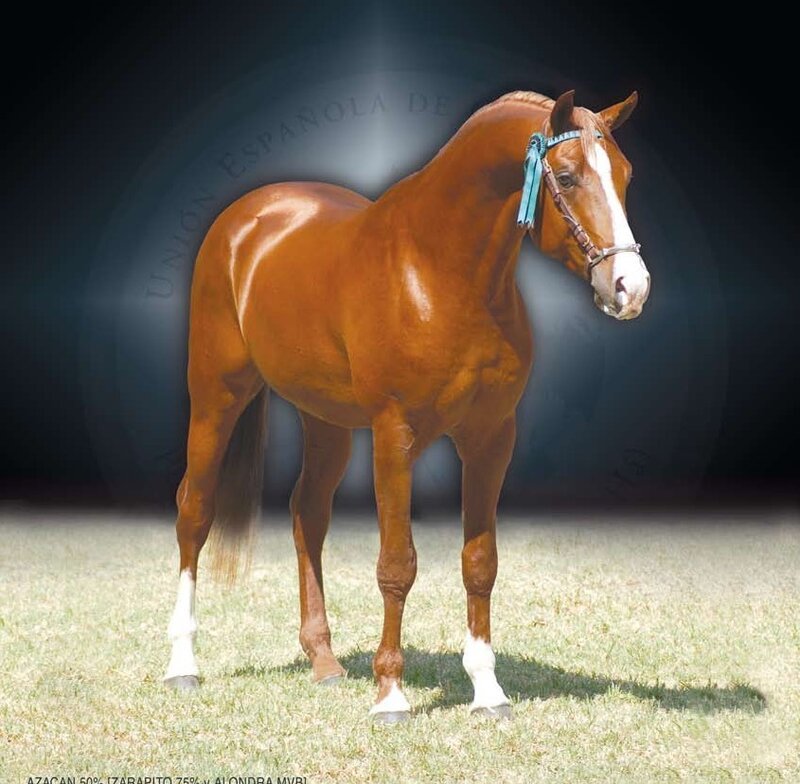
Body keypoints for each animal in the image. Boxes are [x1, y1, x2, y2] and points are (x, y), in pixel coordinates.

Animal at [163, 88, 651, 722]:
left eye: (625, 175)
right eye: (566, 178)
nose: (630, 287)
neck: (439, 271)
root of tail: (245, 217)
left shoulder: (491, 438)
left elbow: (480, 564)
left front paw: (487, 692)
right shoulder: (395, 436)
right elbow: (397, 565)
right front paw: (390, 695)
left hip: (324, 421)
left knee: (306, 515)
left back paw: (324, 663)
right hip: (216, 397)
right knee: (194, 512)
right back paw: (182, 665)